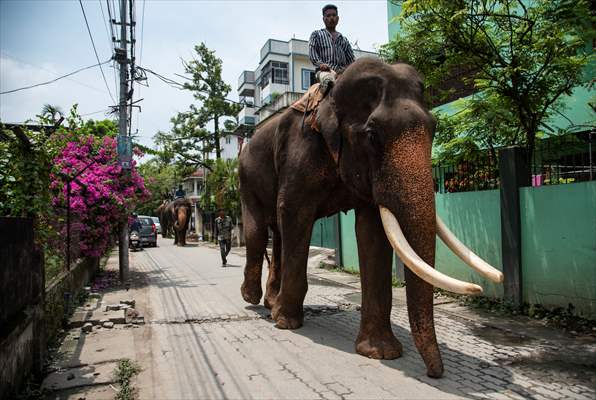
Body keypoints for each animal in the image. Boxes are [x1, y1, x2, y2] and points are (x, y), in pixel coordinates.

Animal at [237, 57, 502, 378]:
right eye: (373, 135)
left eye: (435, 128)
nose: (434, 373)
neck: (332, 97)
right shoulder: (299, 155)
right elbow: (295, 215)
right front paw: (287, 323)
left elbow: (374, 231)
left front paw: (381, 353)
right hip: (246, 178)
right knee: (258, 230)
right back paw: (253, 300)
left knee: (276, 234)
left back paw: (270, 303)